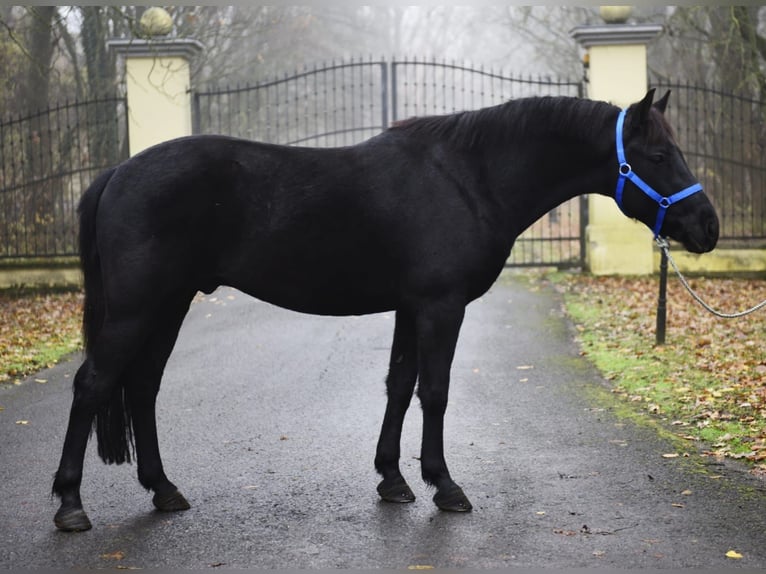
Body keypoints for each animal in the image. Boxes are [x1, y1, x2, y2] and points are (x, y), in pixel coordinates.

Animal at [52, 89, 719, 531]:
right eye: (659, 156)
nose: (708, 227)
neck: (468, 178)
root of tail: (118, 172)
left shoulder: (408, 308)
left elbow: (399, 385)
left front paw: (392, 481)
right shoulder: (440, 308)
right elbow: (435, 390)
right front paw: (444, 486)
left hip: (169, 305)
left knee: (141, 386)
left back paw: (163, 490)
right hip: (138, 308)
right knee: (94, 384)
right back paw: (70, 504)